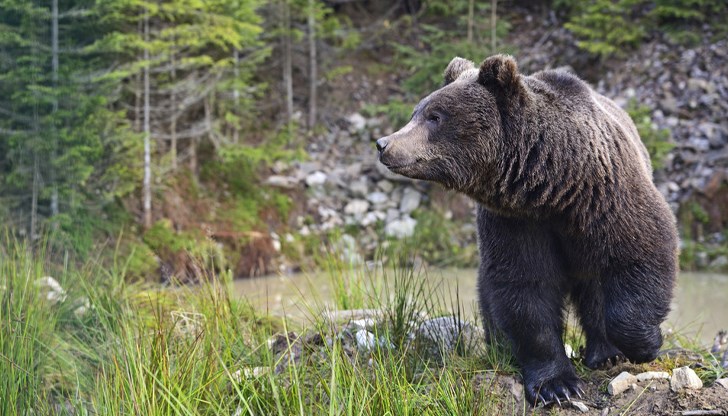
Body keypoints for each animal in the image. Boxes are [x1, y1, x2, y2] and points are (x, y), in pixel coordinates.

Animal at [378, 54, 680, 406]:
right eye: (418, 111)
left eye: (434, 116)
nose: (383, 144)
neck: (554, 186)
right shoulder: (516, 221)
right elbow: (525, 287)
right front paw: (556, 385)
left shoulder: (608, 196)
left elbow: (643, 250)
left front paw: (646, 343)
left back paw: (605, 354)